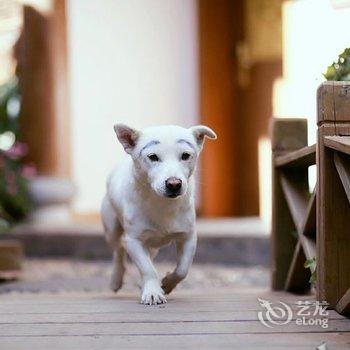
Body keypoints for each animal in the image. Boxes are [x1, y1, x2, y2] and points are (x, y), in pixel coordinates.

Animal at [100, 123, 216, 304]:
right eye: (153, 157)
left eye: (185, 155)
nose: (174, 184)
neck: (162, 203)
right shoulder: (134, 240)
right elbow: (148, 269)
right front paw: (153, 292)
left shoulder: (188, 237)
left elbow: (182, 269)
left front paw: (167, 283)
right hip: (111, 228)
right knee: (118, 251)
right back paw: (116, 279)